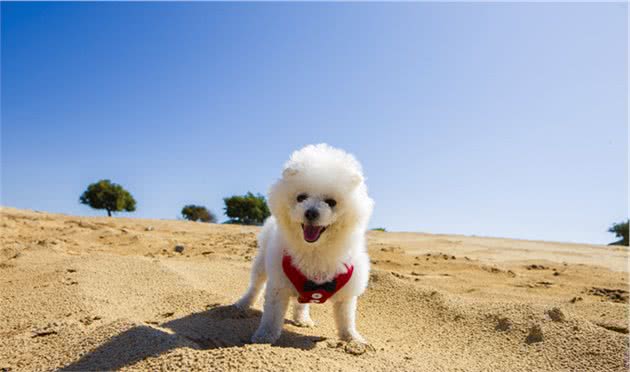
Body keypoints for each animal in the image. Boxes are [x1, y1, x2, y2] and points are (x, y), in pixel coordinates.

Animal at [236, 144, 376, 344]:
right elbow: (272, 316)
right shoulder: (278, 286)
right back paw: (243, 304)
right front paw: (264, 337)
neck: (314, 250)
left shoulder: (346, 295)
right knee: (255, 286)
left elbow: (346, 318)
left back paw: (302, 319)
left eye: (331, 202)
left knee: (301, 302)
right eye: (301, 197)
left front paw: (352, 338)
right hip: (262, 264)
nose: (310, 213)